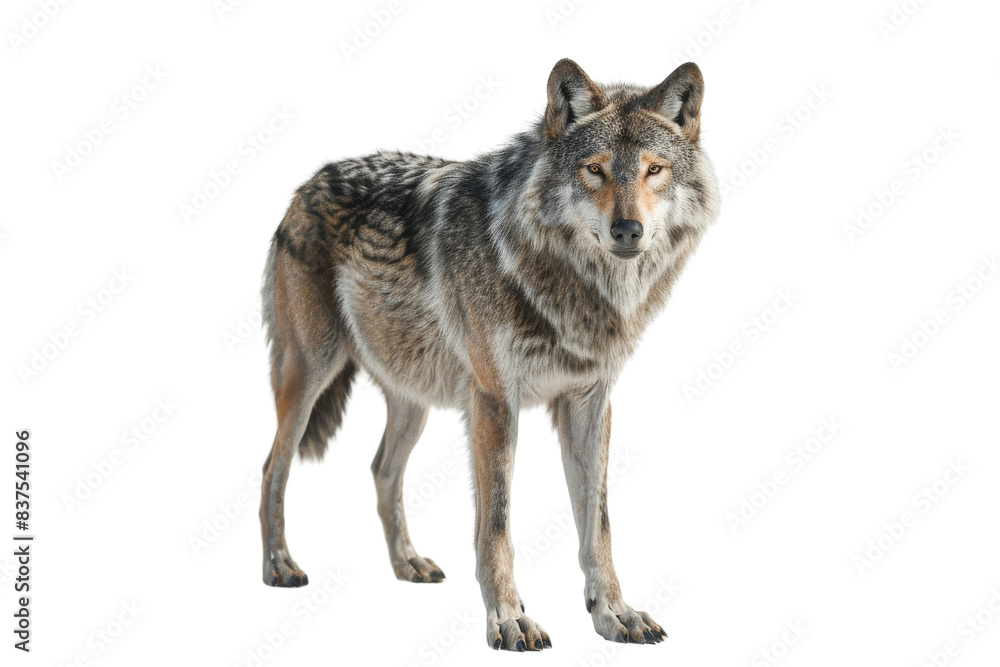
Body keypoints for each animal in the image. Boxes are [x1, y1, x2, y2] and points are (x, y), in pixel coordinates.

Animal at [258, 58, 720, 651]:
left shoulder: (589, 403)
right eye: (594, 170)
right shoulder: (495, 400)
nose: (627, 230)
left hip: (412, 400)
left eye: (653, 170)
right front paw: (509, 620)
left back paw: (407, 563)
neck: (569, 285)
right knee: (273, 466)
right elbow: (496, 525)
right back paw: (279, 565)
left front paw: (614, 613)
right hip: (308, 375)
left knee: (382, 469)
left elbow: (599, 527)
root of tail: (309, 181)